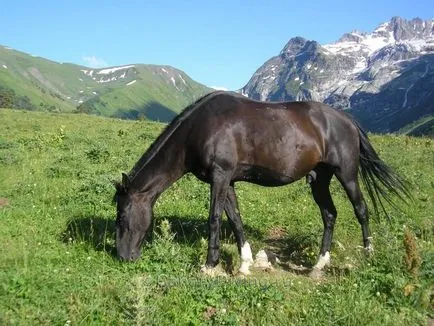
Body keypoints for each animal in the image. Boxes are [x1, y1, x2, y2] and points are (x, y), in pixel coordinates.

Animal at [112, 90, 410, 276]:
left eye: (123, 216)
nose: (123, 257)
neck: (199, 129)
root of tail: (347, 119)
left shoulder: (220, 177)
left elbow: (214, 219)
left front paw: (210, 264)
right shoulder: (227, 181)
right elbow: (235, 219)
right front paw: (244, 263)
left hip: (346, 174)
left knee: (361, 210)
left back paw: (368, 254)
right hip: (319, 179)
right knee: (330, 215)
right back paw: (319, 265)